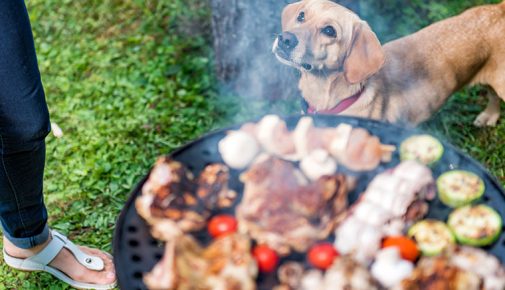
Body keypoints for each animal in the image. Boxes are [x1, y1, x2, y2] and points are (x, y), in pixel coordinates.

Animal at [274, 0, 504, 126]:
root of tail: (499, 10)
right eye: (301, 16)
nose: (285, 39)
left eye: (329, 30)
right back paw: (489, 116)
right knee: (492, 97)